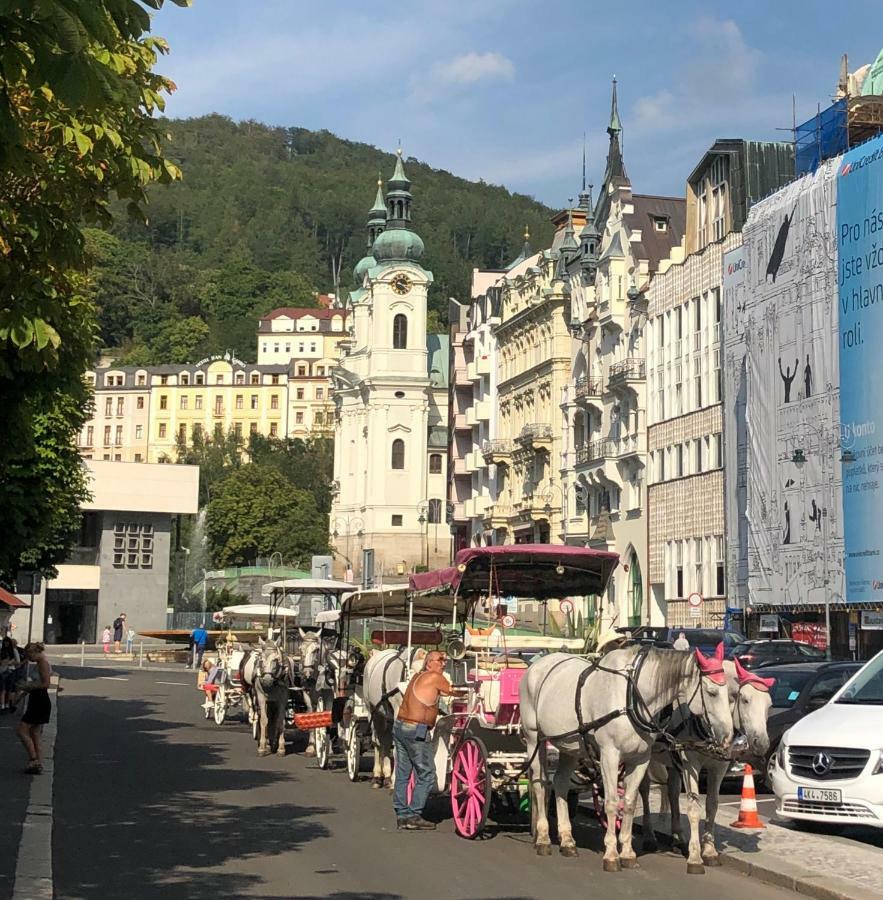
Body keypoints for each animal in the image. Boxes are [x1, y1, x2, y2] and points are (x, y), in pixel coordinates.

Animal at [360, 648, 426, 788]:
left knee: (385, 740)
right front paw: (396, 778)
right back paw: (377, 777)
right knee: (377, 741)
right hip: (373, 712)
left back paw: (387, 776)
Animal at [520, 648, 736, 872]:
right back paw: (543, 838)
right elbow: (612, 802)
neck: (631, 697)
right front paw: (611, 854)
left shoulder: (640, 758)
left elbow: (630, 802)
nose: (728, 737)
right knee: (540, 784)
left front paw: (627, 852)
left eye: (731, 693)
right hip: (534, 738)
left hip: (569, 746)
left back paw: (567, 840)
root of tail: (539, 662)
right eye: (712, 692)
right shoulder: (609, 754)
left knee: (560, 783)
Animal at [636, 652, 772, 872]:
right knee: (644, 790)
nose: (762, 743)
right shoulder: (690, 763)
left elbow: (712, 805)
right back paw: (649, 836)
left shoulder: (719, 767)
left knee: (673, 792)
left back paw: (678, 838)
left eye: (769, 704)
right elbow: (693, 807)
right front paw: (695, 855)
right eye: (745, 700)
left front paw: (709, 850)